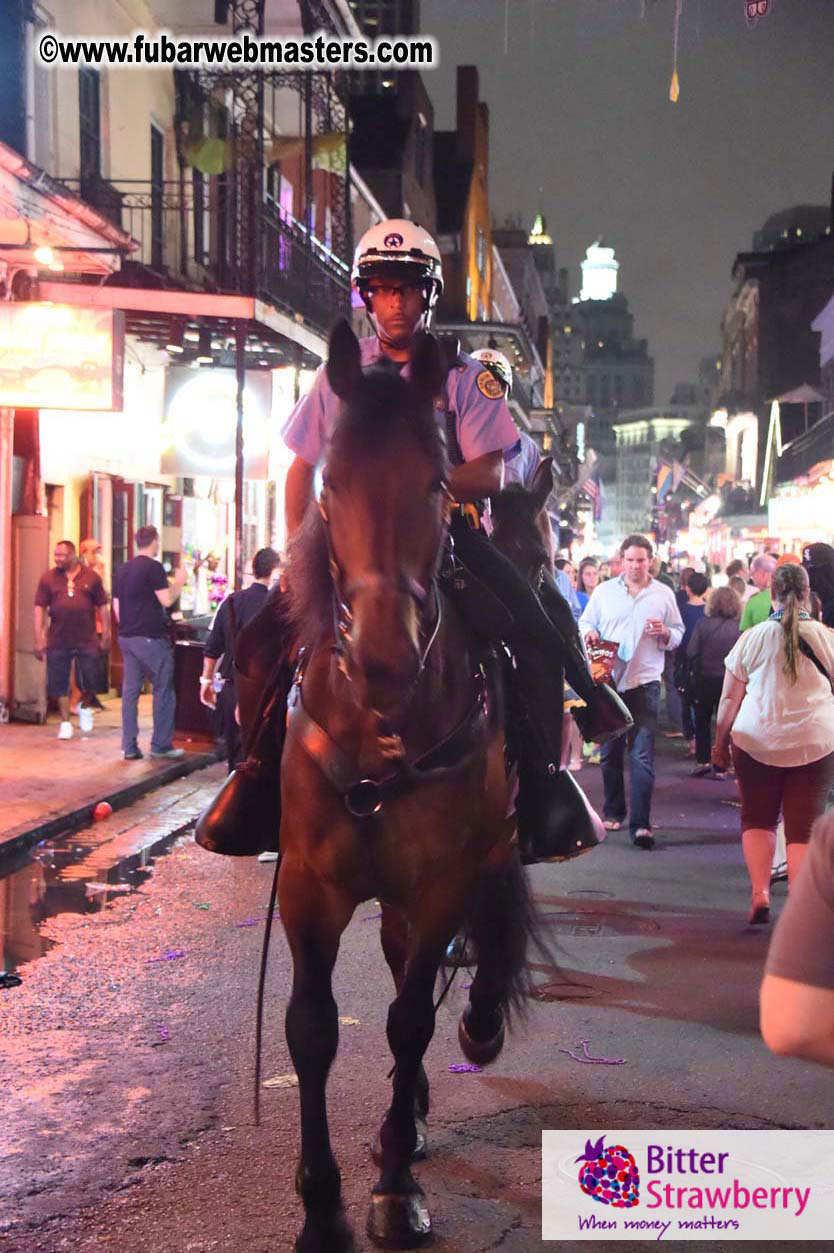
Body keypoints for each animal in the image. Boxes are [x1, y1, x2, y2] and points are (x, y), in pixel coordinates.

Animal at [279, 318, 535, 1247]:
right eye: (328, 483)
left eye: (435, 483)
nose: (384, 658)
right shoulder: (310, 885)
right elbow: (314, 1030)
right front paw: (321, 1203)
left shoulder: (436, 882)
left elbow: (409, 1017)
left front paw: (390, 1187)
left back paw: (473, 1035)